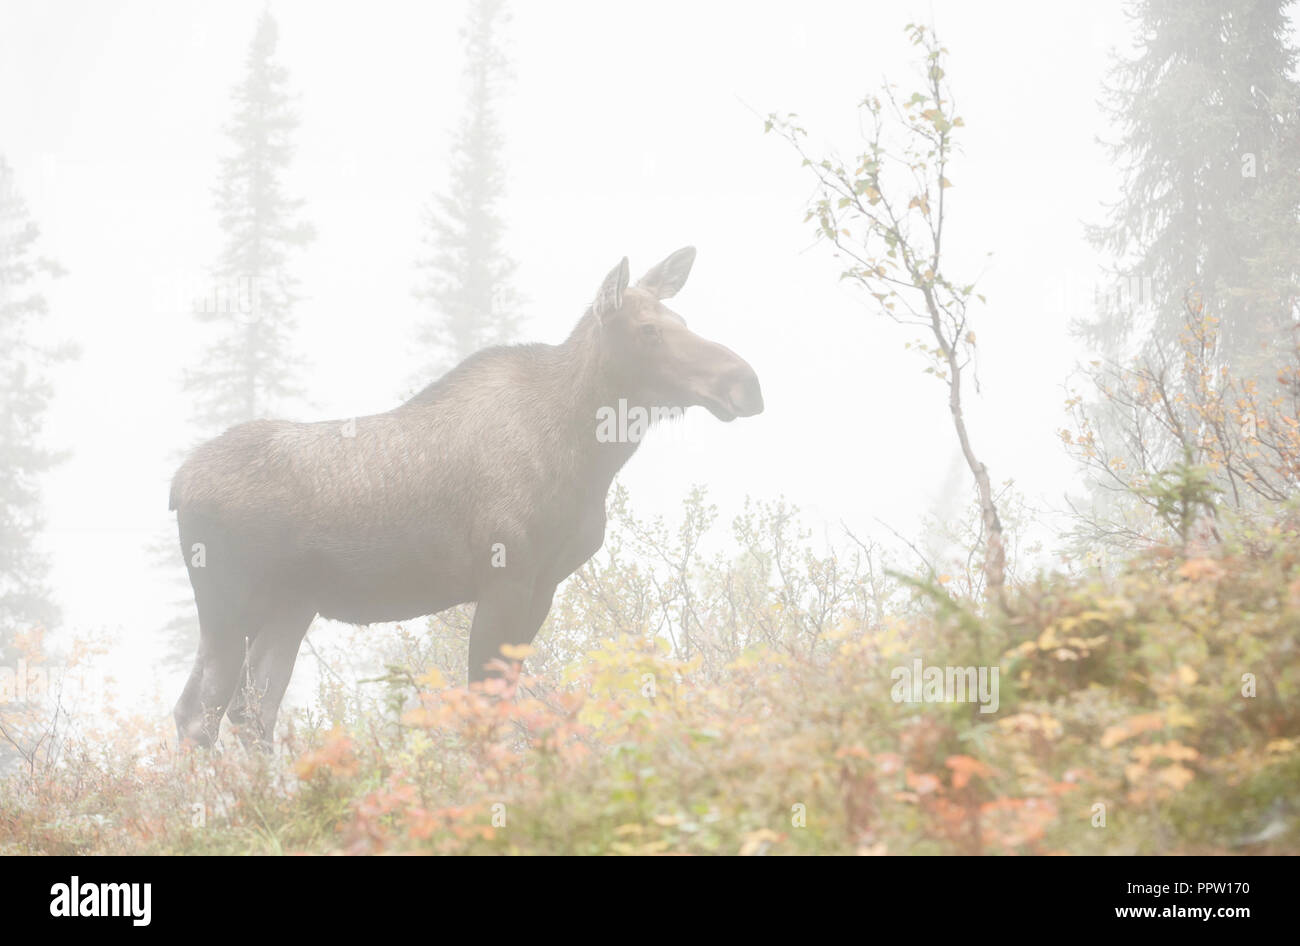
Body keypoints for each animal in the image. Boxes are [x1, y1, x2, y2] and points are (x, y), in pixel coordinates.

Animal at [170, 248, 759, 748]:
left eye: (682, 322)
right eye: (649, 329)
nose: (746, 383)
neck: (589, 456)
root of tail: (177, 486)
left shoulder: (544, 584)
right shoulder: (504, 575)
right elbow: (483, 700)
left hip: (290, 606)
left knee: (249, 713)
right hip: (229, 601)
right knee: (202, 713)